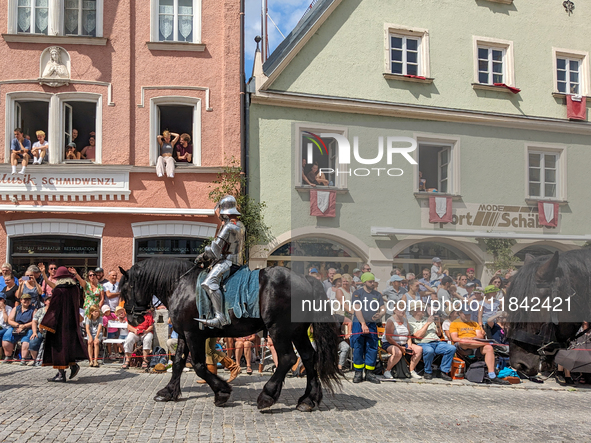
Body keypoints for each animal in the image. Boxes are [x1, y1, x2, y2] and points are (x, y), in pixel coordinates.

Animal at [119, 258, 342, 412]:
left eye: (125, 289)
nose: (133, 320)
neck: (181, 285)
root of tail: (305, 279)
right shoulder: (183, 334)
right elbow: (178, 363)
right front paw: (168, 392)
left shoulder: (193, 334)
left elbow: (199, 366)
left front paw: (222, 391)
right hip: (297, 331)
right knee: (309, 357)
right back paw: (308, 399)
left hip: (279, 330)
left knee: (288, 358)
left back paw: (267, 396)